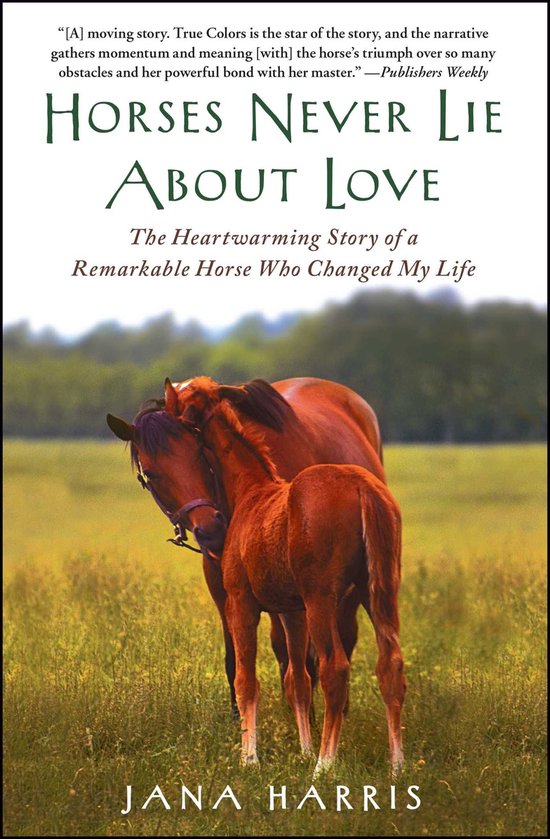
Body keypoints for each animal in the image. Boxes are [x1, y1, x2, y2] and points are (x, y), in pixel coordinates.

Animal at [107, 376, 387, 717]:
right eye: (150, 474)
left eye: (199, 451)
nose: (211, 529)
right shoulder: (222, 583)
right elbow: (235, 658)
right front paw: (239, 716)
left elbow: (304, 658)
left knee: (342, 638)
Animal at [161, 376, 405, 776]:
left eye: (180, 398)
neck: (251, 490)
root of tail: (362, 487)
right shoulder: (291, 611)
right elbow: (297, 679)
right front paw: (302, 749)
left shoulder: (242, 602)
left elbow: (247, 679)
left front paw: (249, 757)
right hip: (380, 594)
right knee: (390, 665)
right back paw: (397, 764)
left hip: (322, 600)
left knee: (335, 668)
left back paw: (324, 764)